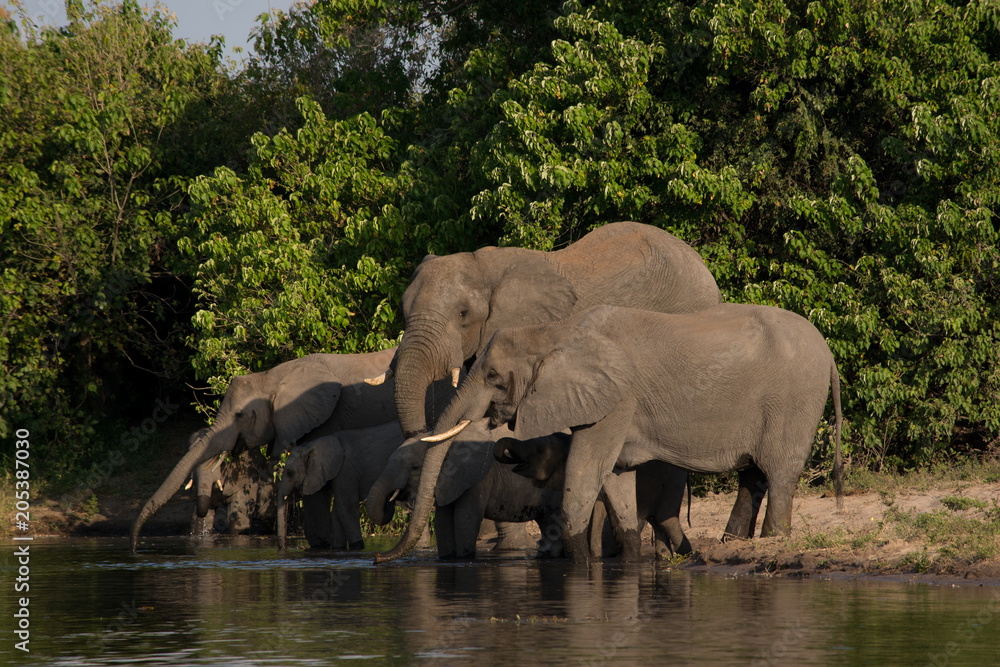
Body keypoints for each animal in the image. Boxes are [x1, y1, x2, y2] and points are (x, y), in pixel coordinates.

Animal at [275, 421, 405, 551]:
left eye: (290, 473)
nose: (284, 548)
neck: (313, 445)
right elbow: (337, 510)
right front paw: (339, 549)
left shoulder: (345, 469)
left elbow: (346, 507)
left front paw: (357, 547)